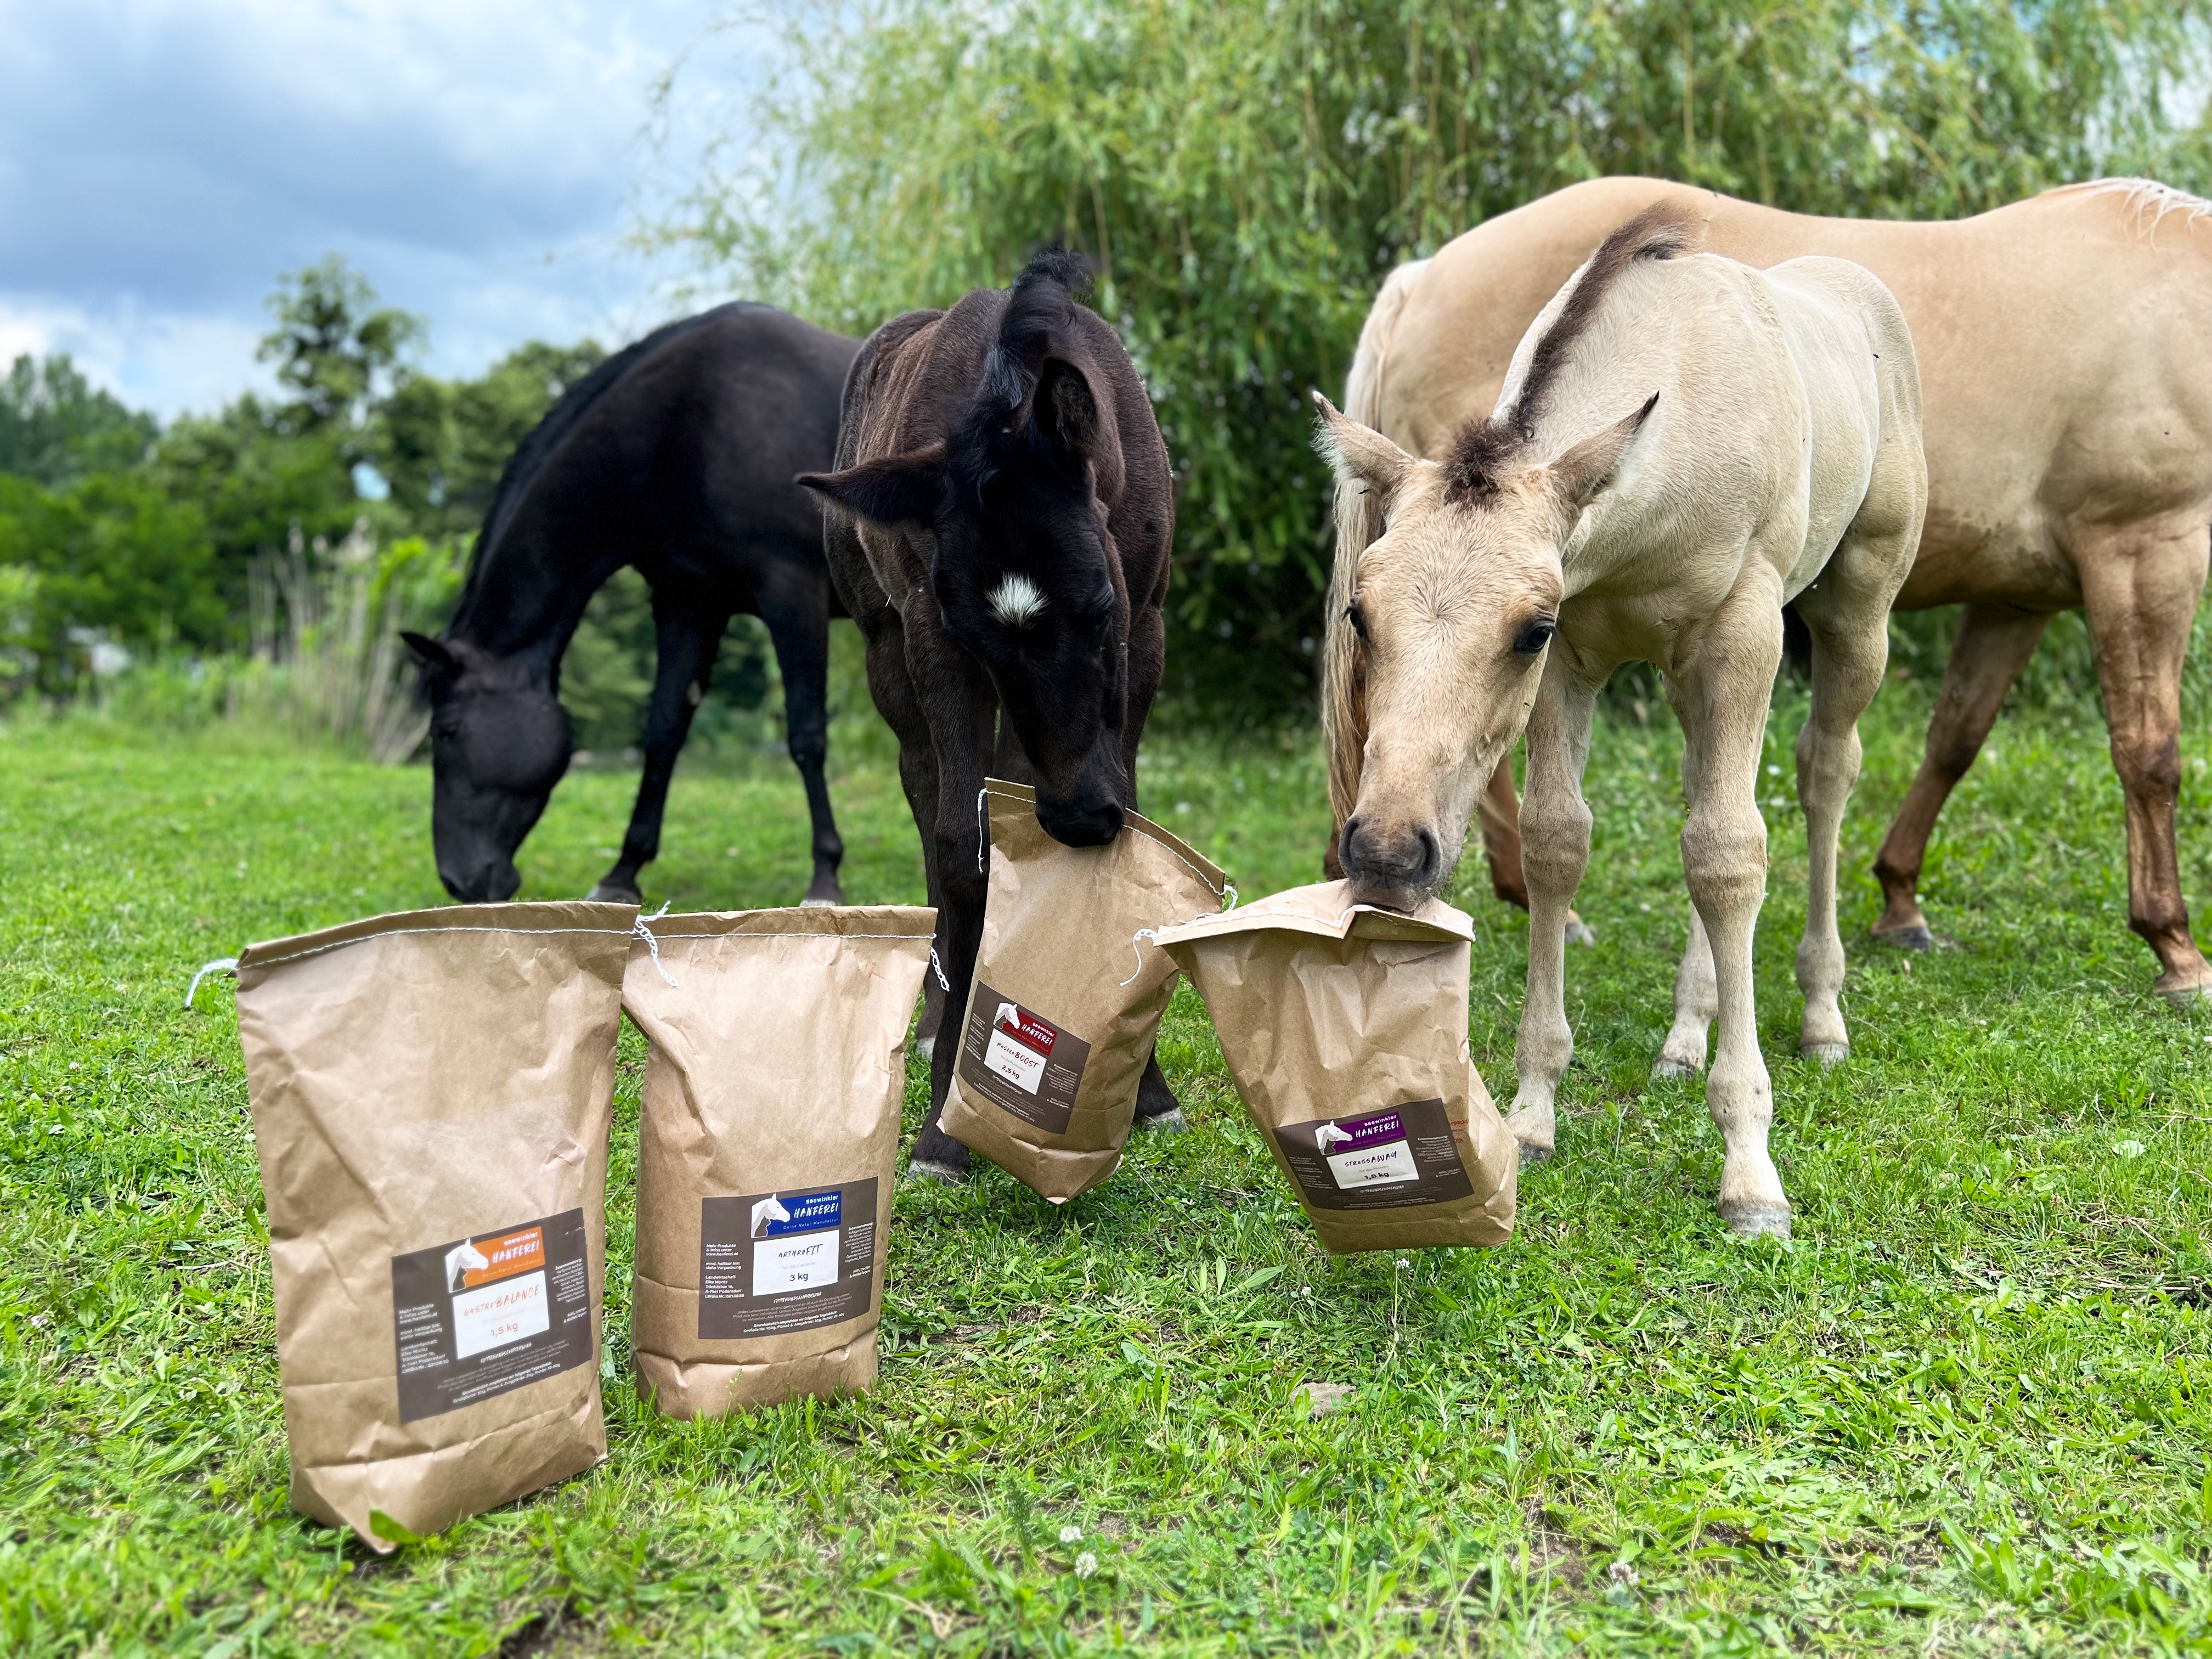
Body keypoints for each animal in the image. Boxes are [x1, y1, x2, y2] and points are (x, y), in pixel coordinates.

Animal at [402, 303, 858, 908]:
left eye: (446, 731)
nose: (460, 881)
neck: (691, 420)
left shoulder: (793, 597)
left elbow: (807, 735)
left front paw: (825, 878)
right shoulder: (687, 604)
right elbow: (663, 733)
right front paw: (623, 871)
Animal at [796, 251, 1181, 1184]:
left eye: (1102, 606)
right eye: (972, 628)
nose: (1078, 819)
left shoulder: (1148, 622)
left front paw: (1147, 1090)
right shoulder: (933, 635)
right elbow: (959, 846)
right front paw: (942, 1129)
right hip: (886, 654)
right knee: (929, 796)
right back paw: (942, 1014)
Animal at [1320, 206, 1927, 1238]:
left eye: (1524, 628)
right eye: (1361, 612)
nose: (1388, 852)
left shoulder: (1739, 633)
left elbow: (1730, 854)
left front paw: (1750, 1169)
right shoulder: (1580, 660)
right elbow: (1560, 842)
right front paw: (1531, 1114)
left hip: (1856, 610)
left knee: (1823, 773)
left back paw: (1820, 1012)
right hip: (1691, 681)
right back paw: (1687, 1032)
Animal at [1327, 175, 2212, 1004]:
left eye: (1531, 631)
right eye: (1359, 616)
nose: (1386, 854)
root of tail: (1422, 274)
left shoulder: (2017, 599)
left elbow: (1956, 737)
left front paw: (1900, 900)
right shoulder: (2145, 547)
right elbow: (2149, 752)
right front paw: (2175, 947)